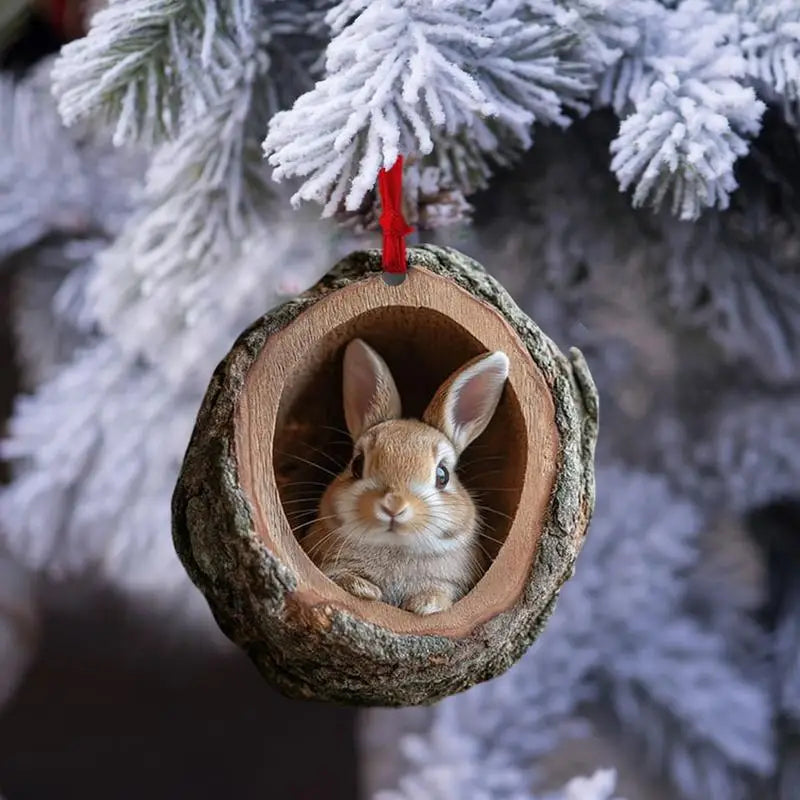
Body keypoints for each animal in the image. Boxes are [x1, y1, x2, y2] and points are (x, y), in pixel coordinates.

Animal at [301, 338, 510, 615]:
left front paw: (426, 604)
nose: (393, 505)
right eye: (357, 464)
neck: (394, 546)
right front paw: (365, 589)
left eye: (442, 475)